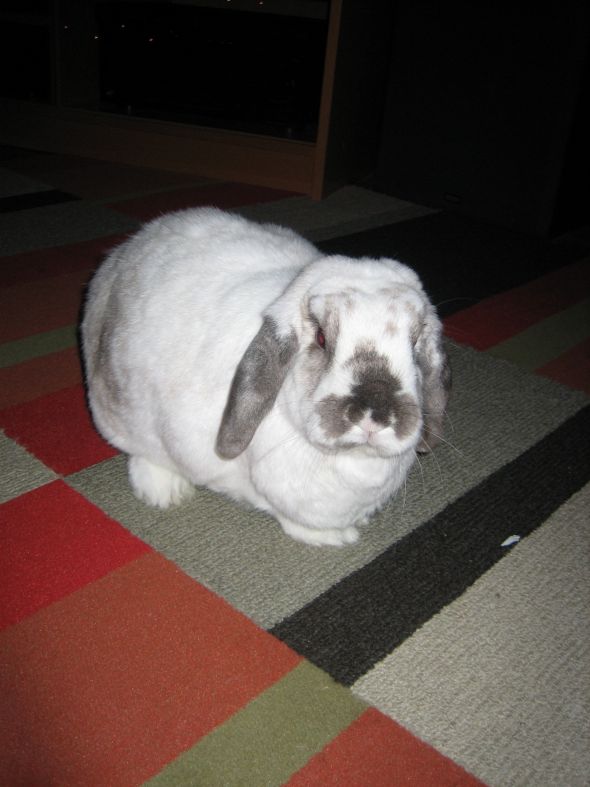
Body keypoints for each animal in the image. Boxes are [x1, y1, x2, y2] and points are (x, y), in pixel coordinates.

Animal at [81, 207, 450, 546]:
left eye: (414, 345)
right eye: (321, 338)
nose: (375, 415)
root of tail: (122, 255)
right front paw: (337, 537)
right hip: (123, 415)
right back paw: (164, 491)